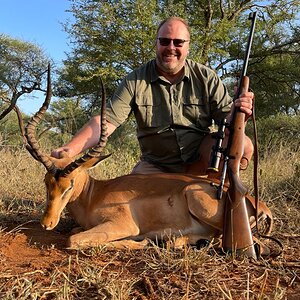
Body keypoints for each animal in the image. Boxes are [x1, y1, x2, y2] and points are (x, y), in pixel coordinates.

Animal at [22, 66, 274, 251]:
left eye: (70, 184)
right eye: (46, 182)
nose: (46, 223)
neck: (94, 195)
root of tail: (257, 204)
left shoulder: (122, 224)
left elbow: (73, 239)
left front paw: (141, 241)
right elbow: (75, 232)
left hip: (197, 200)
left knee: (248, 243)